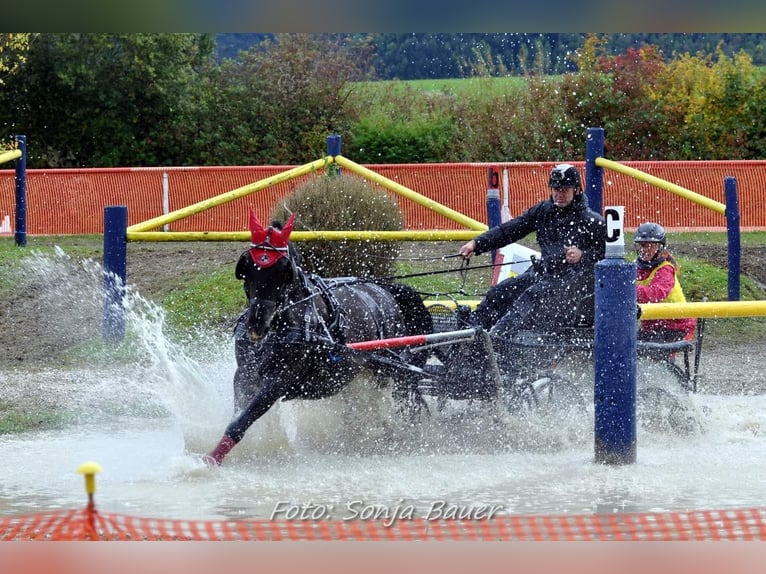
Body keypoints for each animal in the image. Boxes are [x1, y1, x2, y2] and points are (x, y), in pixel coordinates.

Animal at [202, 212, 432, 468]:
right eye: (249, 268)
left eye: (283, 271)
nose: (257, 325)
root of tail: (384, 291)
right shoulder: (244, 374)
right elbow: (239, 413)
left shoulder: (279, 381)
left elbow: (243, 420)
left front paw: (211, 459)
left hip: (392, 368)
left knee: (407, 397)